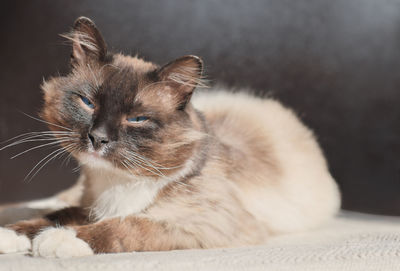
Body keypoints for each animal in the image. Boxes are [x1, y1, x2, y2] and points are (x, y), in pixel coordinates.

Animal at [0, 17, 340, 260]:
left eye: (137, 119)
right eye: (88, 103)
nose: (98, 138)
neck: (117, 181)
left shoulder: (202, 224)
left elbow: (128, 225)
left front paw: (61, 240)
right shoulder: (94, 205)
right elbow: (56, 215)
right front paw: (13, 234)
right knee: (58, 199)